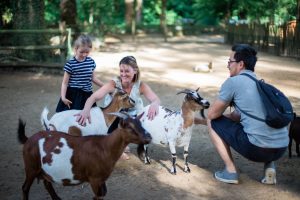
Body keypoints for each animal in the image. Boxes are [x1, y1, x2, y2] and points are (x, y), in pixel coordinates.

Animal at [17, 111, 151, 199]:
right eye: (130, 127)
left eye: (141, 123)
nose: (148, 137)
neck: (104, 147)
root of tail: (28, 139)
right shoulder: (94, 179)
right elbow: (98, 196)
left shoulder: (101, 179)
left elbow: (103, 194)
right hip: (31, 168)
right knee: (25, 188)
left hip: (43, 170)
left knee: (47, 184)